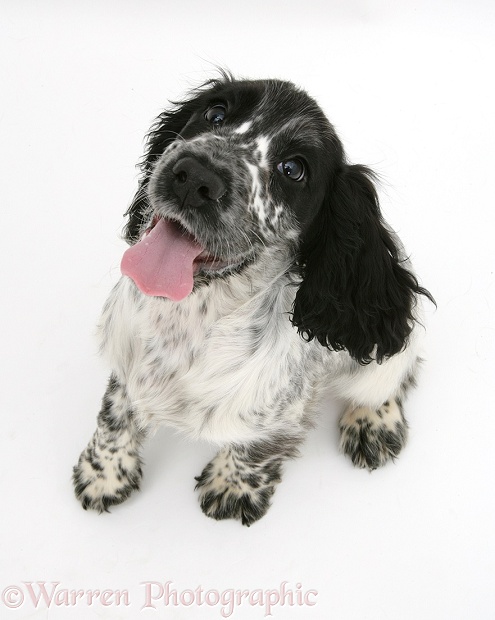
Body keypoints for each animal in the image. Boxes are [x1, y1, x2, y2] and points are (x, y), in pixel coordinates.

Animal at [72, 74, 434, 528]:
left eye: (293, 169)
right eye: (215, 113)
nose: (194, 176)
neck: (190, 317)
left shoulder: (280, 412)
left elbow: (257, 449)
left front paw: (233, 488)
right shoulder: (126, 364)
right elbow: (114, 417)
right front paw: (104, 474)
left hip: (384, 355)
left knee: (395, 374)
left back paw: (373, 423)